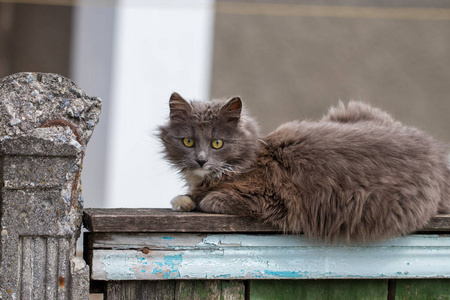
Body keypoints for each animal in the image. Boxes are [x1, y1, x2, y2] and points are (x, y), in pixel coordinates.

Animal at [159, 92, 450, 243]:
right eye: (188, 141)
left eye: (217, 143)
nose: (201, 159)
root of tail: (436, 152)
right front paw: (183, 200)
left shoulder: (270, 197)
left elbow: (210, 199)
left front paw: (196, 199)